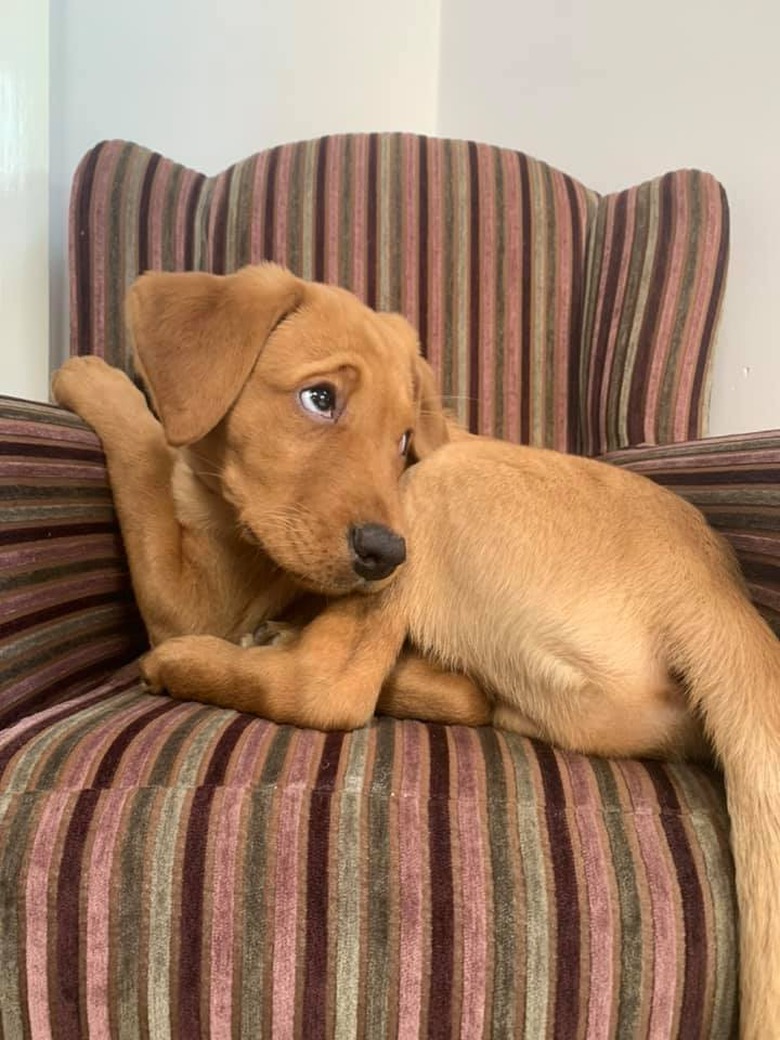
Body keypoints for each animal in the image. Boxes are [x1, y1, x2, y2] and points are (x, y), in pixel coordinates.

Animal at [53, 264, 777, 1035]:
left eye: (403, 438)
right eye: (319, 398)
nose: (382, 554)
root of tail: (715, 593)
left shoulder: (205, 595)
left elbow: (144, 458)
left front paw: (96, 380)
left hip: (431, 489)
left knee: (331, 690)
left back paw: (203, 661)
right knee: (472, 696)